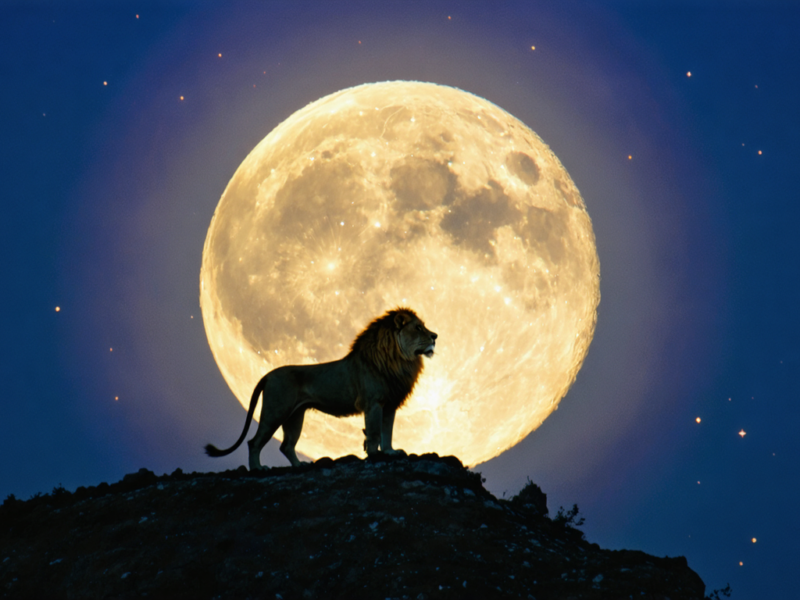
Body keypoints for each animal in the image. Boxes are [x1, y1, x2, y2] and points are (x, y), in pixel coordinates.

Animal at [204, 307, 437, 470]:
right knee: (254, 442)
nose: (435, 336)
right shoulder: (373, 403)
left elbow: (387, 432)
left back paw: (299, 466)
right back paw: (258, 469)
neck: (400, 360)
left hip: (295, 416)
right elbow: (373, 432)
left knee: (286, 445)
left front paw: (390, 452)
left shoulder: (389, 405)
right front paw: (374, 455)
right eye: (418, 327)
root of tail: (268, 375)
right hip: (276, 411)